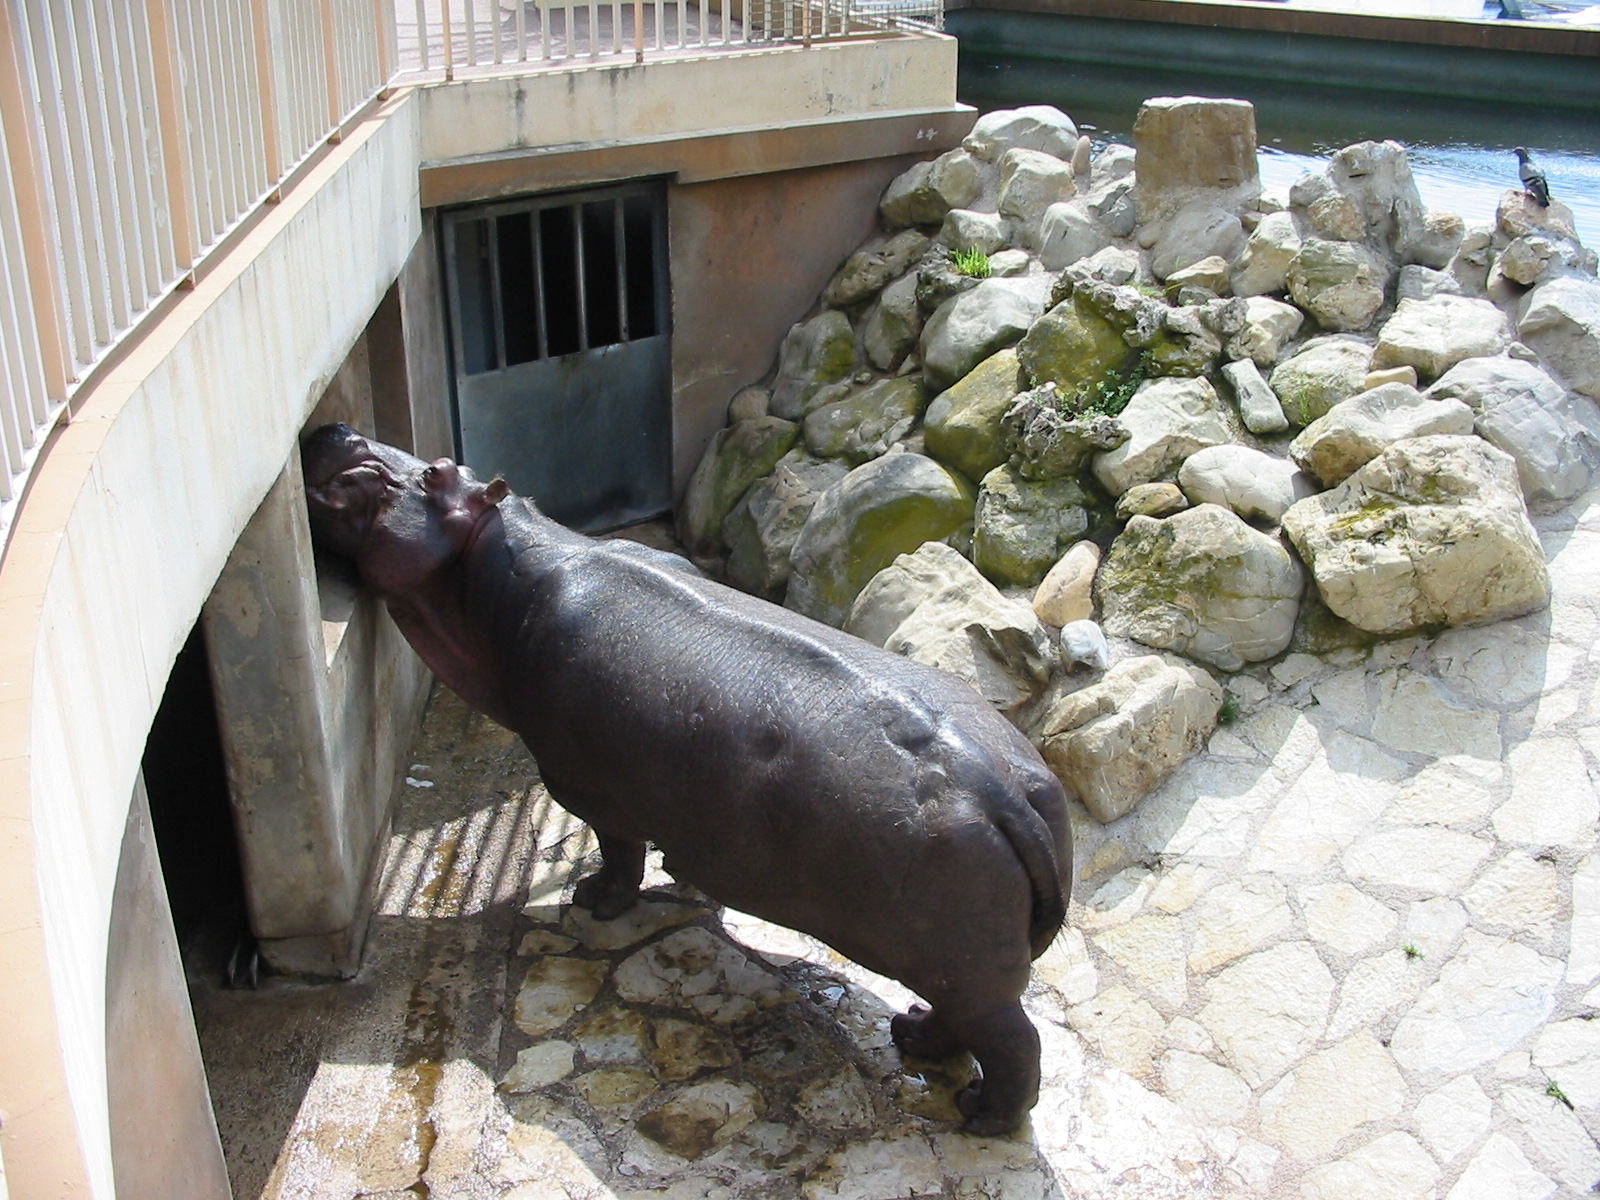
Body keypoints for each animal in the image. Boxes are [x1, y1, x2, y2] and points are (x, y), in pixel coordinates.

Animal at [301, 423, 1072, 1135]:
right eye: (442, 462)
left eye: (424, 474)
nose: (334, 427)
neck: (502, 567)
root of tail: (1000, 793)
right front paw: (684, 884)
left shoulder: (588, 788)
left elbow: (618, 853)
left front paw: (591, 900)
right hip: (961, 959)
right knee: (961, 1019)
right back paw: (910, 1035)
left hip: (963, 964)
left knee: (1015, 1042)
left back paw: (982, 1115)